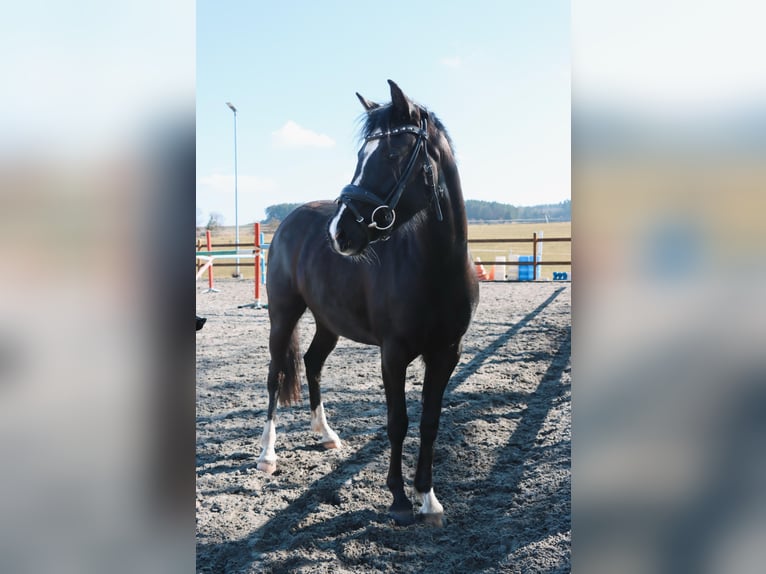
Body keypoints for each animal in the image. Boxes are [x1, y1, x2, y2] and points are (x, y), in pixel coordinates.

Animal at [260, 81, 484, 528]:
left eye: (393, 154)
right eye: (362, 155)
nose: (339, 232)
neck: (435, 267)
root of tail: (289, 222)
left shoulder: (447, 353)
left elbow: (430, 422)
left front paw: (427, 499)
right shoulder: (393, 354)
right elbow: (397, 422)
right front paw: (398, 498)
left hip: (328, 323)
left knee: (312, 363)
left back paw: (326, 435)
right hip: (283, 315)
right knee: (276, 374)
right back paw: (267, 454)